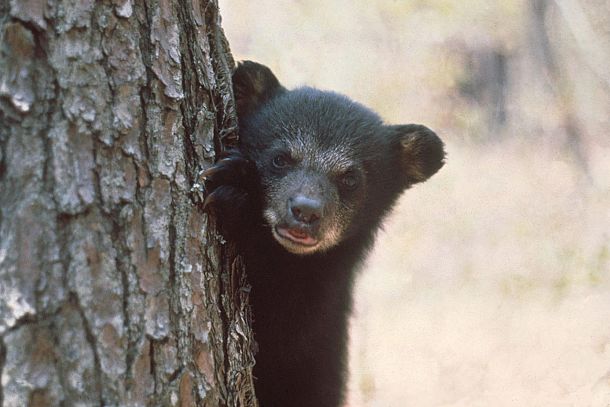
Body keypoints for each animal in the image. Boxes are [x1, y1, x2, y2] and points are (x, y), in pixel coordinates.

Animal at [202, 61, 445, 407]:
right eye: (280, 158)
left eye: (350, 179)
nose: (306, 211)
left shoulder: (320, 310)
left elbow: (283, 331)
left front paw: (236, 193)